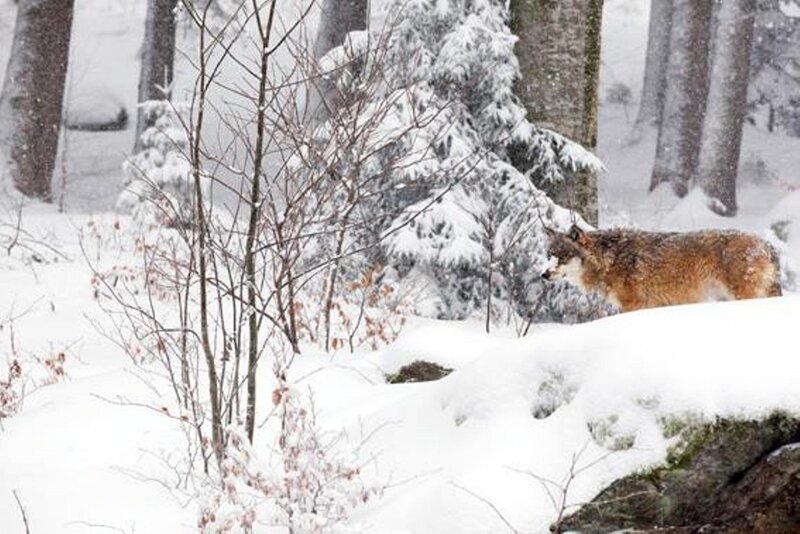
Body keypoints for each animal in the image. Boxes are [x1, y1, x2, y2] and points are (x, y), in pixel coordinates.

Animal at [542, 225, 782, 312]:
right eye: (549, 255)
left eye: (562, 257)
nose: (543, 274)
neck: (610, 259)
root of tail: (767, 245)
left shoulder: (631, 305)